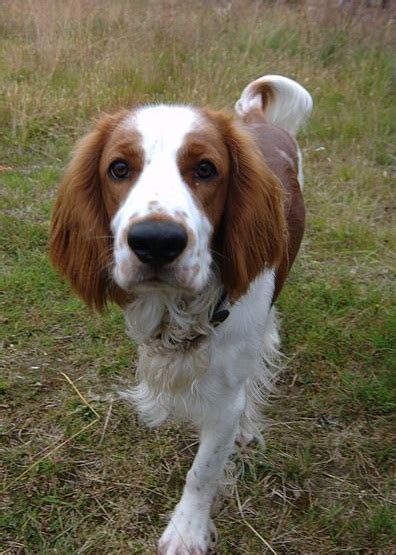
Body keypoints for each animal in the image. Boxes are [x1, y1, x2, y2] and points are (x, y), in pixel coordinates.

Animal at [48, 75, 312, 555]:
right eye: (119, 168)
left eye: (206, 169)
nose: (156, 241)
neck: (180, 308)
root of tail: (257, 120)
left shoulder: (225, 400)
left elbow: (203, 470)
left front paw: (187, 529)